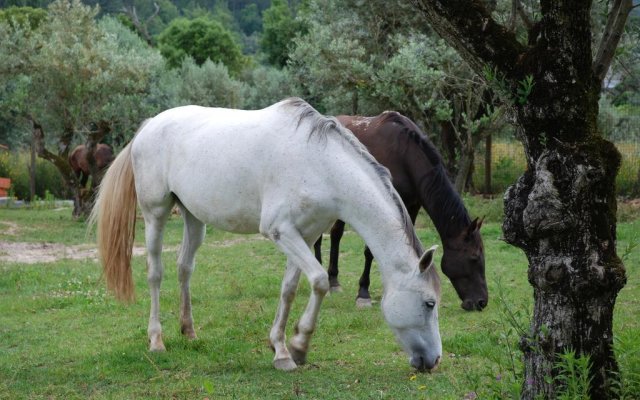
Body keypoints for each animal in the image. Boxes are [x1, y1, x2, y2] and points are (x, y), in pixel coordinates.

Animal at [89, 97, 440, 372]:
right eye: (430, 303)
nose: (434, 361)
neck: (320, 165)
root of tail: (149, 126)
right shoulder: (281, 231)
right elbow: (320, 281)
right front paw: (298, 346)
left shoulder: (305, 235)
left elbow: (290, 289)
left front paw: (283, 349)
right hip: (156, 213)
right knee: (155, 273)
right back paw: (157, 339)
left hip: (193, 218)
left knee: (184, 268)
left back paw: (189, 331)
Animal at [312, 111, 488, 310]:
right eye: (474, 257)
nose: (481, 302)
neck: (404, 155)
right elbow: (369, 252)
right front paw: (363, 293)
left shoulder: (412, 206)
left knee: (336, 234)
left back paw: (334, 281)